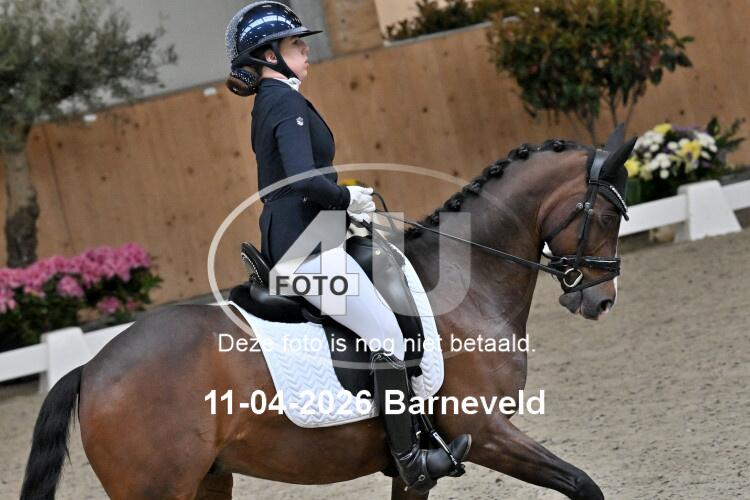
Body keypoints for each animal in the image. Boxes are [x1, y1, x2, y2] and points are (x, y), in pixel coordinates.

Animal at [19, 135, 635, 500]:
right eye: (607, 214)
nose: (601, 299)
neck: (468, 289)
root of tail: (91, 369)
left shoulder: (423, 466)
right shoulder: (483, 432)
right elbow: (583, 485)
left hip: (209, 479)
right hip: (158, 488)